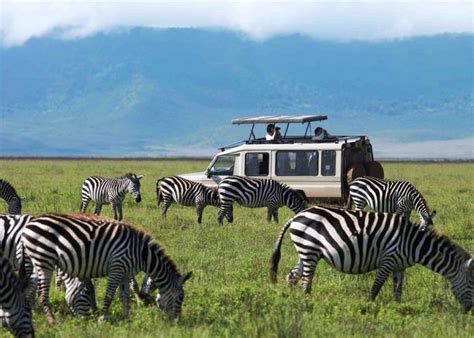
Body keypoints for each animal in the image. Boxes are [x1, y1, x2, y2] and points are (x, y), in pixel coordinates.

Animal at [21, 213, 193, 324]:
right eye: (180, 298)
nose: (177, 322)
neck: (141, 254)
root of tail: (29, 224)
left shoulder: (126, 274)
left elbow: (125, 296)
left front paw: (127, 319)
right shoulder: (117, 268)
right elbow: (109, 296)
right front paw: (101, 320)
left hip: (39, 262)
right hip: (44, 261)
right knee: (43, 293)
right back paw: (52, 320)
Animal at [270, 205, 474, 312]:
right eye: (472, 285)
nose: (468, 311)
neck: (413, 243)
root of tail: (297, 215)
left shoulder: (400, 266)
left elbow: (398, 290)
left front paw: (399, 310)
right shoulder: (388, 259)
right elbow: (376, 287)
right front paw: (367, 308)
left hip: (305, 252)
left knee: (292, 277)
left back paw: (290, 301)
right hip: (309, 249)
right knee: (306, 282)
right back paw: (308, 305)